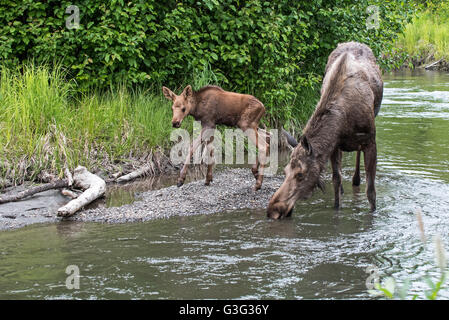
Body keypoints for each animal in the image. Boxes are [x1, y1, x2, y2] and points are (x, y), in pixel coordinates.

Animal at [266, 41, 382, 219]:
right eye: (285, 171)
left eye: (301, 174)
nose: (273, 210)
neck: (343, 121)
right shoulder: (334, 145)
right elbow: (336, 181)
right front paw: (337, 207)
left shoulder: (370, 140)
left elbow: (371, 191)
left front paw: (372, 212)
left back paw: (356, 179)